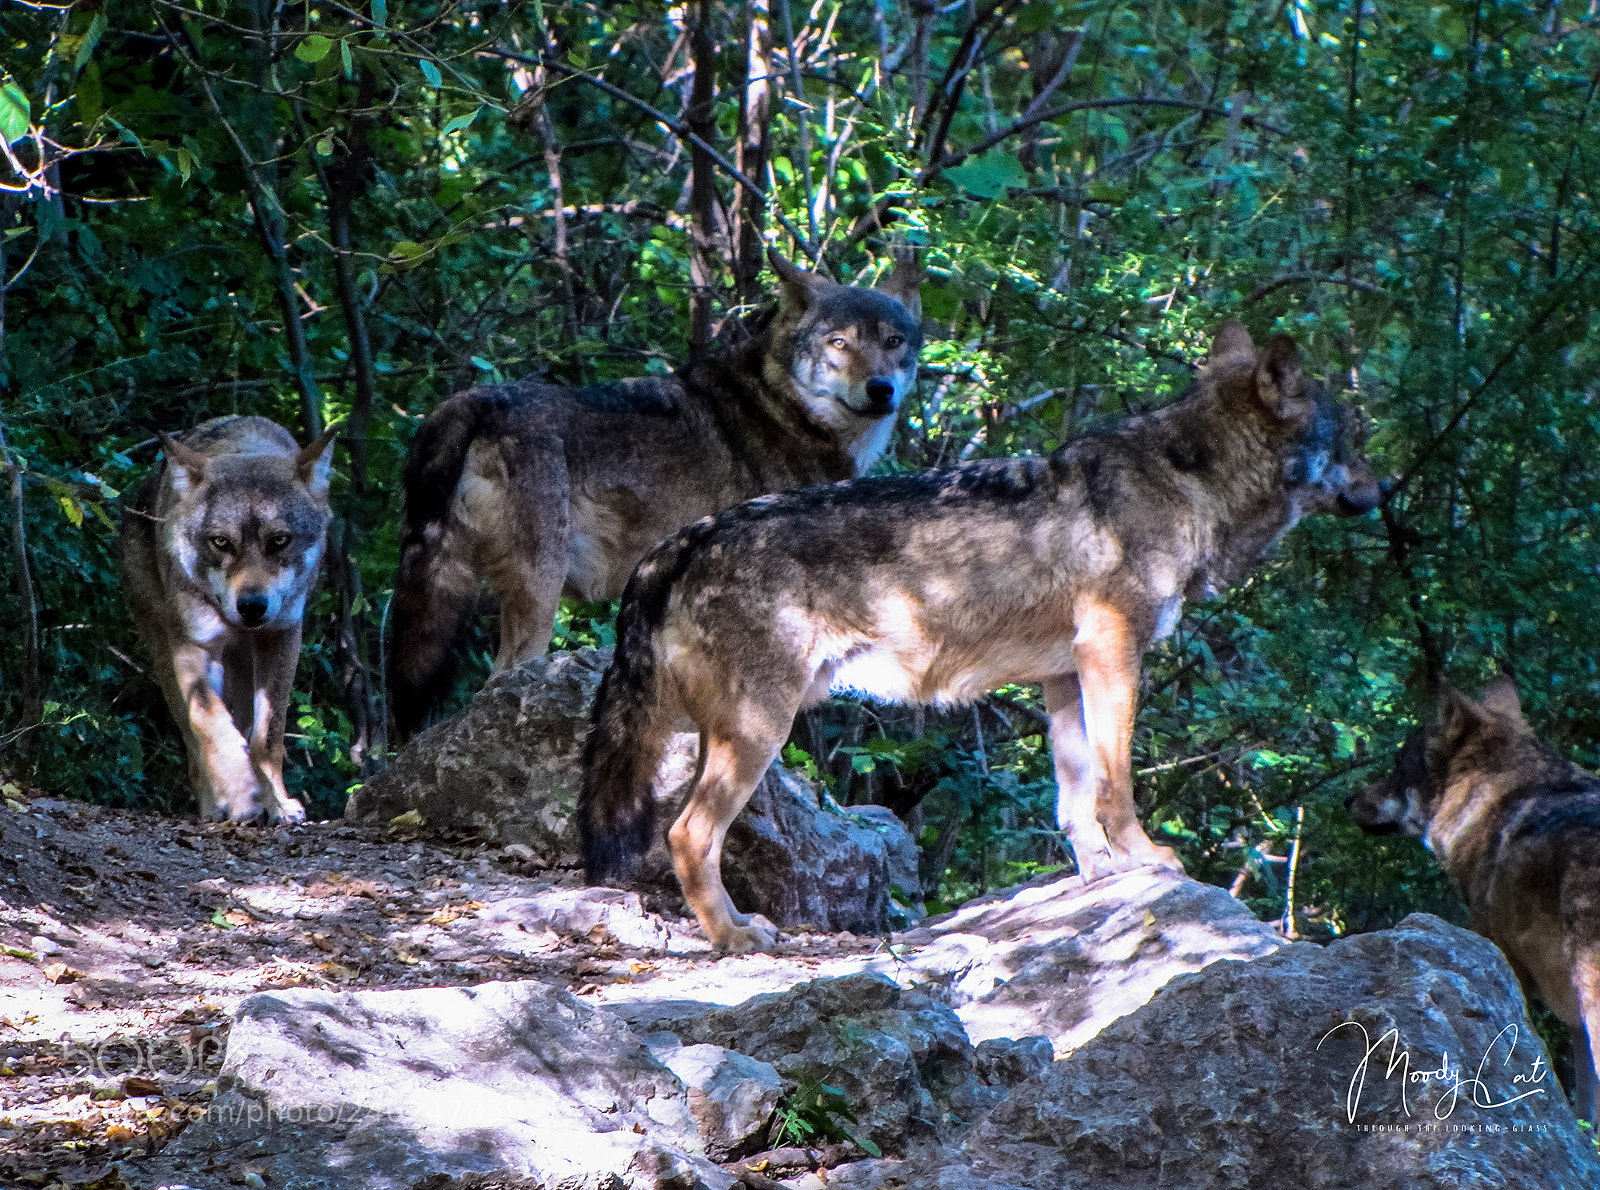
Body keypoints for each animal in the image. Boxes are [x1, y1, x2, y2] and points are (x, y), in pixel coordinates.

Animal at [122, 416, 339, 823]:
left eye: (279, 540)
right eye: (221, 542)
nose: (251, 606)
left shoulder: (283, 638)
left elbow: (266, 737)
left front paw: (276, 804)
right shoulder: (194, 646)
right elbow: (210, 724)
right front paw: (238, 794)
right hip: (166, 656)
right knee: (193, 746)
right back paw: (215, 807)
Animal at [388, 252, 923, 740]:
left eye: (893, 342)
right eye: (839, 343)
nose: (881, 389)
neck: (786, 411)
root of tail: (468, 400)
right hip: (539, 591)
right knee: (500, 678)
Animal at [579, 322, 1383, 952]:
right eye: (1351, 439)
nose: (1386, 491)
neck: (1190, 481)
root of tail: (679, 544)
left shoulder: (1065, 677)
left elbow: (1073, 796)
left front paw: (1100, 875)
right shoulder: (1113, 654)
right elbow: (1117, 784)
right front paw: (1148, 859)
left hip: (724, 736)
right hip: (758, 734)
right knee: (688, 835)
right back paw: (734, 936)